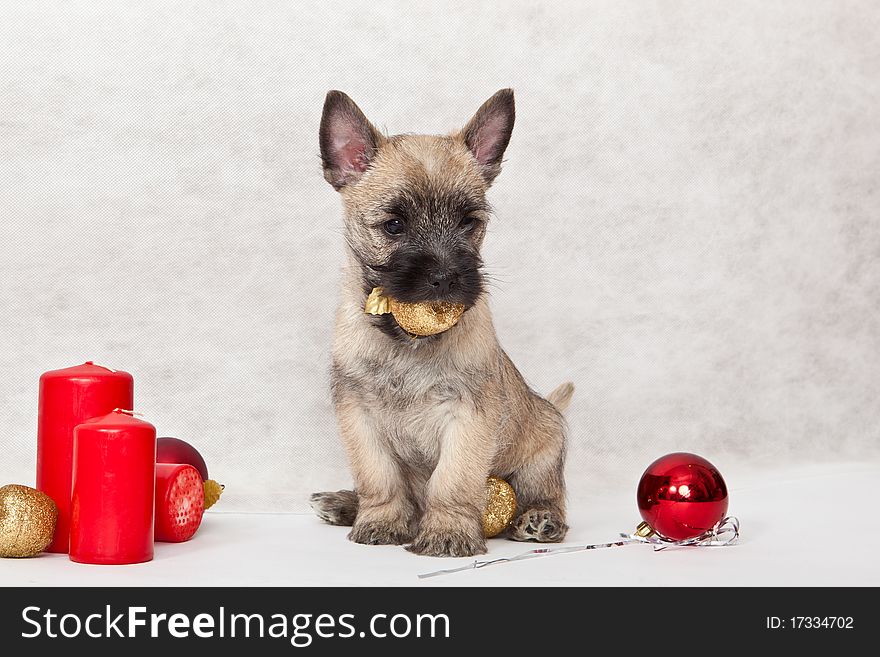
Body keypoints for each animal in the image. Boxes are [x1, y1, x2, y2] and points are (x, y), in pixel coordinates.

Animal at [310, 89, 572, 556]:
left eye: (469, 223)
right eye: (394, 225)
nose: (447, 277)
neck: (407, 341)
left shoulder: (467, 419)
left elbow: (452, 482)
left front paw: (448, 533)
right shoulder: (359, 417)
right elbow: (378, 478)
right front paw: (380, 521)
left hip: (542, 452)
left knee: (549, 493)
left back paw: (540, 519)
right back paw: (345, 504)